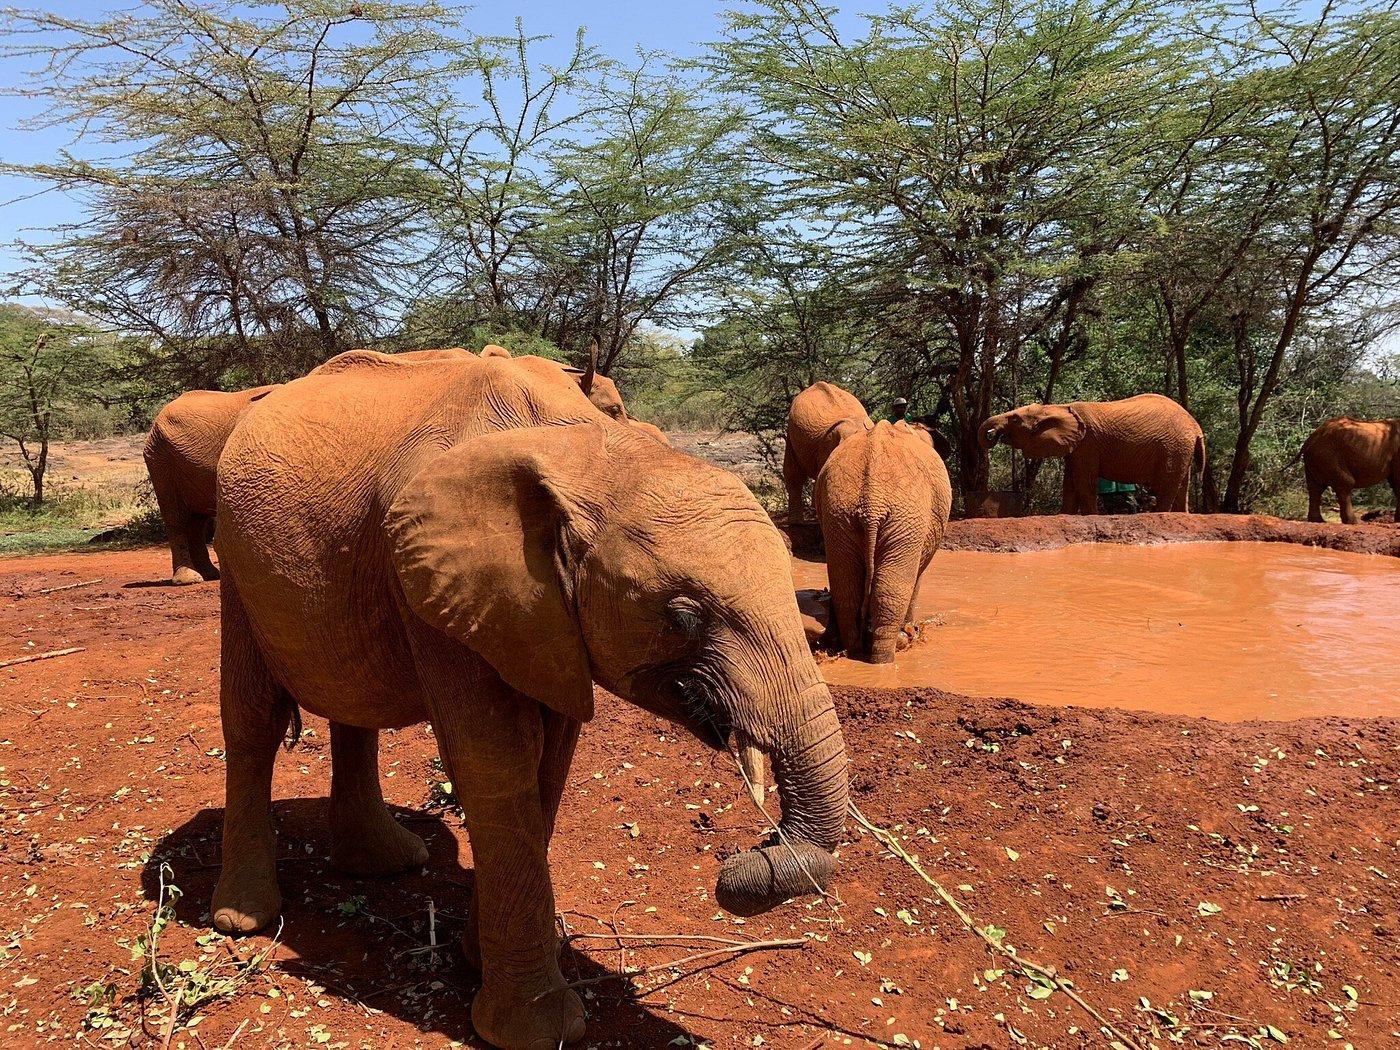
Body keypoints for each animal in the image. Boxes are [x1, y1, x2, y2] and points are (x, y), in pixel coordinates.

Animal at [210, 350, 848, 1050]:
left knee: (356, 707)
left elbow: (550, 760)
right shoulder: (434, 584)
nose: (739, 865)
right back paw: (243, 919)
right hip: (235, 563)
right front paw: (536, 1026)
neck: (577, 448)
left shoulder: (537, 614)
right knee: (252, 720)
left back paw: (385, 864)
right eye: (682, 616)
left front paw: (473, 958)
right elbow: (497, 762)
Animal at [814, 421, 952, 662]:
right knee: (890, 590)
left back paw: (853, 650)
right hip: (906, 516)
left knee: (846, 587)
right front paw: (911, 631)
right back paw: (886, 656)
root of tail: (872, 502)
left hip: (838, 513)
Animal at [980, 394, 1210, 514]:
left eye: (1015, 420)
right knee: (1181, 485)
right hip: (1181, 448)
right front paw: (1064, 516)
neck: (1057, 406)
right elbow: (1070, 484)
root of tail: (1196, 426)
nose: (993, 435)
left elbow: (1083, 482)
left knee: (1167, 485)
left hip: (1173, 447)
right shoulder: (1076, 448)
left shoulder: (1087, 443)